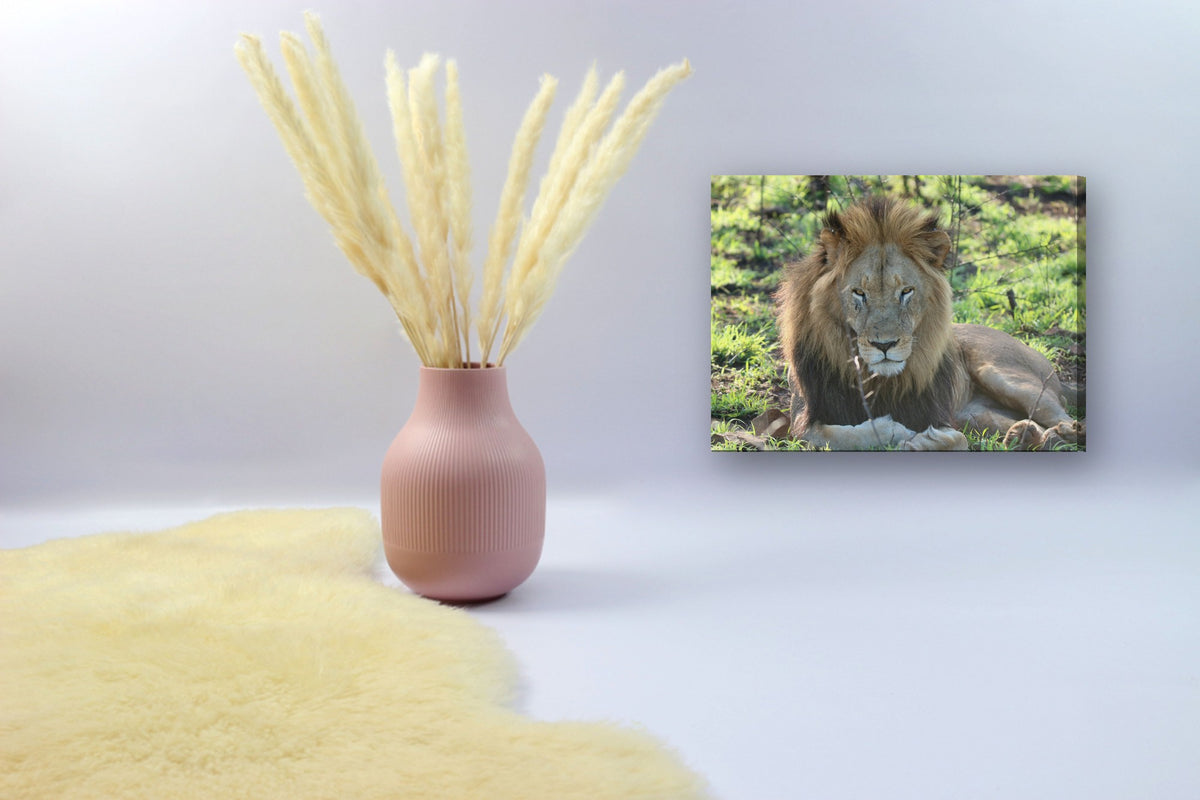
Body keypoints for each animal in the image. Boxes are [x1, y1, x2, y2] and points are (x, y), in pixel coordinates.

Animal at [774, 195, 1084, 451]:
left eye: (906, 291)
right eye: (859, 293)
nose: (885, 345)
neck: (878, 379)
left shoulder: (939, 414)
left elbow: (958, 441)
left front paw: (919, 441)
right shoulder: (803, 420)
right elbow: (840, 436)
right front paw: (897, 431)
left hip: (1004, 375)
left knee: (1065, 417)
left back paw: (1060, 433)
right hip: (976, 414)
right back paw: (1026, 436)